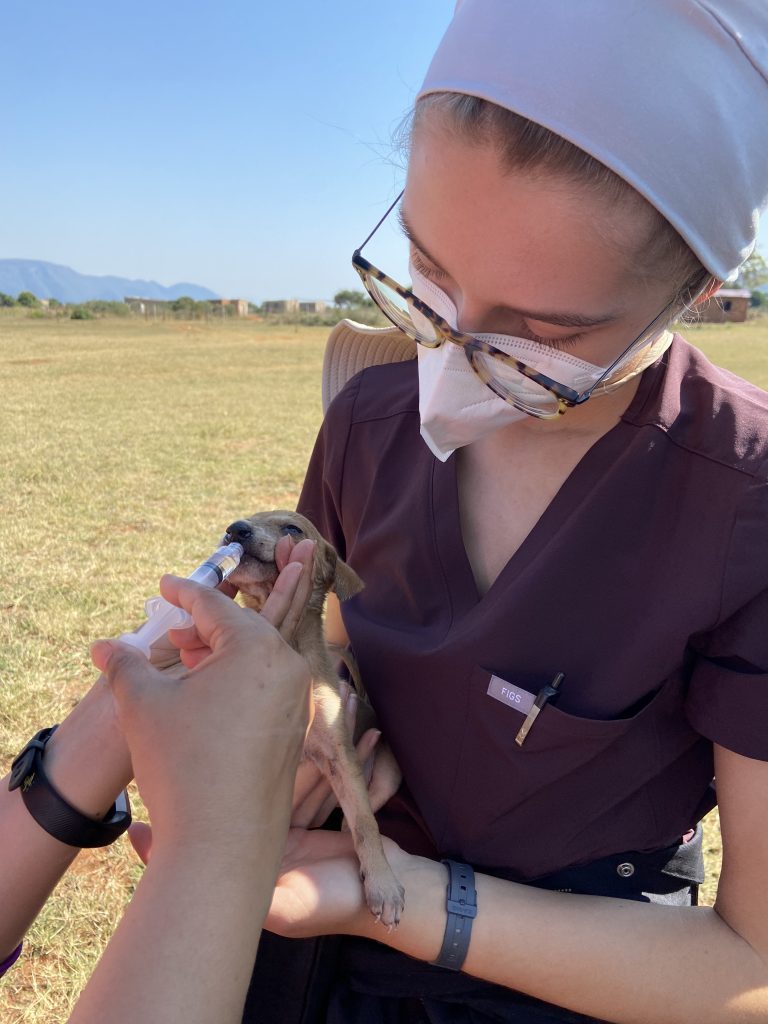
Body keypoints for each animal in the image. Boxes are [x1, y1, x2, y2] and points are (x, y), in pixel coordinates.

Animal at [222, 509, 405, 929]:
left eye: (292, 528)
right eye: (242, 521)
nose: (234, 529)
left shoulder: (340, 755)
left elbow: (366, 824)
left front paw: (383, 883)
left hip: (390, 775)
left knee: (362, 811)